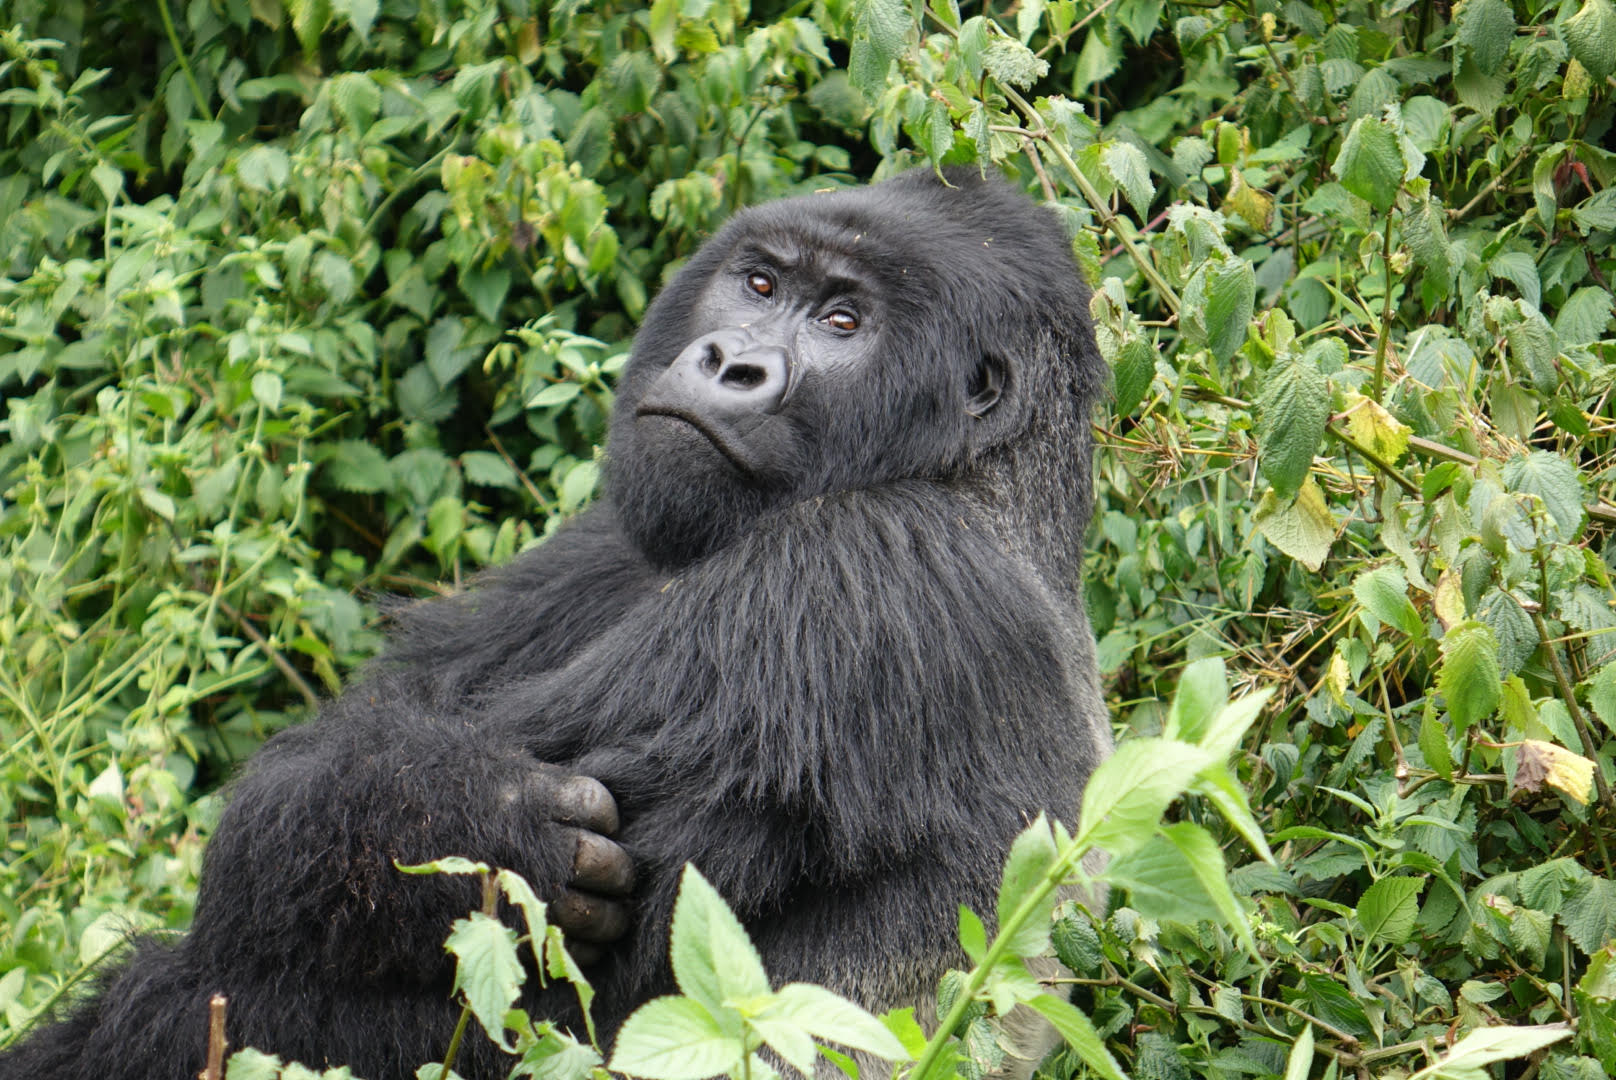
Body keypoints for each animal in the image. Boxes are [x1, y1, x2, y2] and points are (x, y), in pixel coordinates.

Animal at [0, 166, 1111, 1080]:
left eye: (844, 322)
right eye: (758, 286)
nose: (729, 364)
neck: (979, 477)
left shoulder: (867, 570)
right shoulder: (615, 535)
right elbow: (336, 764)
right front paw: (443, 805)